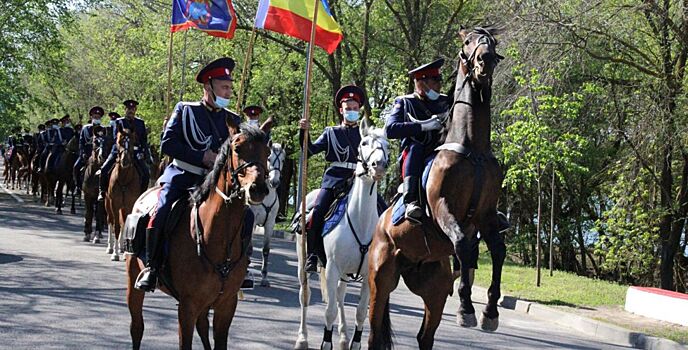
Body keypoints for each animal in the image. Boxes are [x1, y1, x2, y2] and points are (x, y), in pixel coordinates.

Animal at [104, 124, 140, 262]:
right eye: (119, 141)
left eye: (133, 142)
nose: (125, 161)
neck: (124, 178)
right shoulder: (114, 204)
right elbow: (116, 227)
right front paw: (115, 254)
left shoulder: (129, 205)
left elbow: (125, 225)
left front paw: (124, 253)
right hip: (107, 204)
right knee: (111, 221)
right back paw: (110, 247)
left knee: (122, 222)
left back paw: (121, 248)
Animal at [125, 125, 268, 350]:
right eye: (237, 148)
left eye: (267, 152)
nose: (258, 188)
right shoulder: (187, 306)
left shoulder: (226, 305)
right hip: (133, 281)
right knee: (137, 327)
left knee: (202, 326)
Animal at [294, 122, 390, 350]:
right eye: (364, 143)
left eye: (387, 145)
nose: (379, 165)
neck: (360, 220)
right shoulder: (332, 268)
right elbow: (329, 311)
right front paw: (325, 343)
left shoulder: (367, 276)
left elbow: (361, 313)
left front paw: (354, 342)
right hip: (304, 261)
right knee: (305, 295)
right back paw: (302, 338)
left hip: (345, 273)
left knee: (339, 296)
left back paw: (344, 337)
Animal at [368, 27, 508, 350]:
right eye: (468, 42)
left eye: (493, 41)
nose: (485, 61)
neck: (473, 149)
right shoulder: (443, 208)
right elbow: (463, 244)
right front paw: (467, 308)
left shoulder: (486, 216)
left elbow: (497, 250)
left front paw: (490, 312)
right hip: (380, 280)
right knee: (372, 332)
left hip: (433, 291)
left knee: (425, 336)